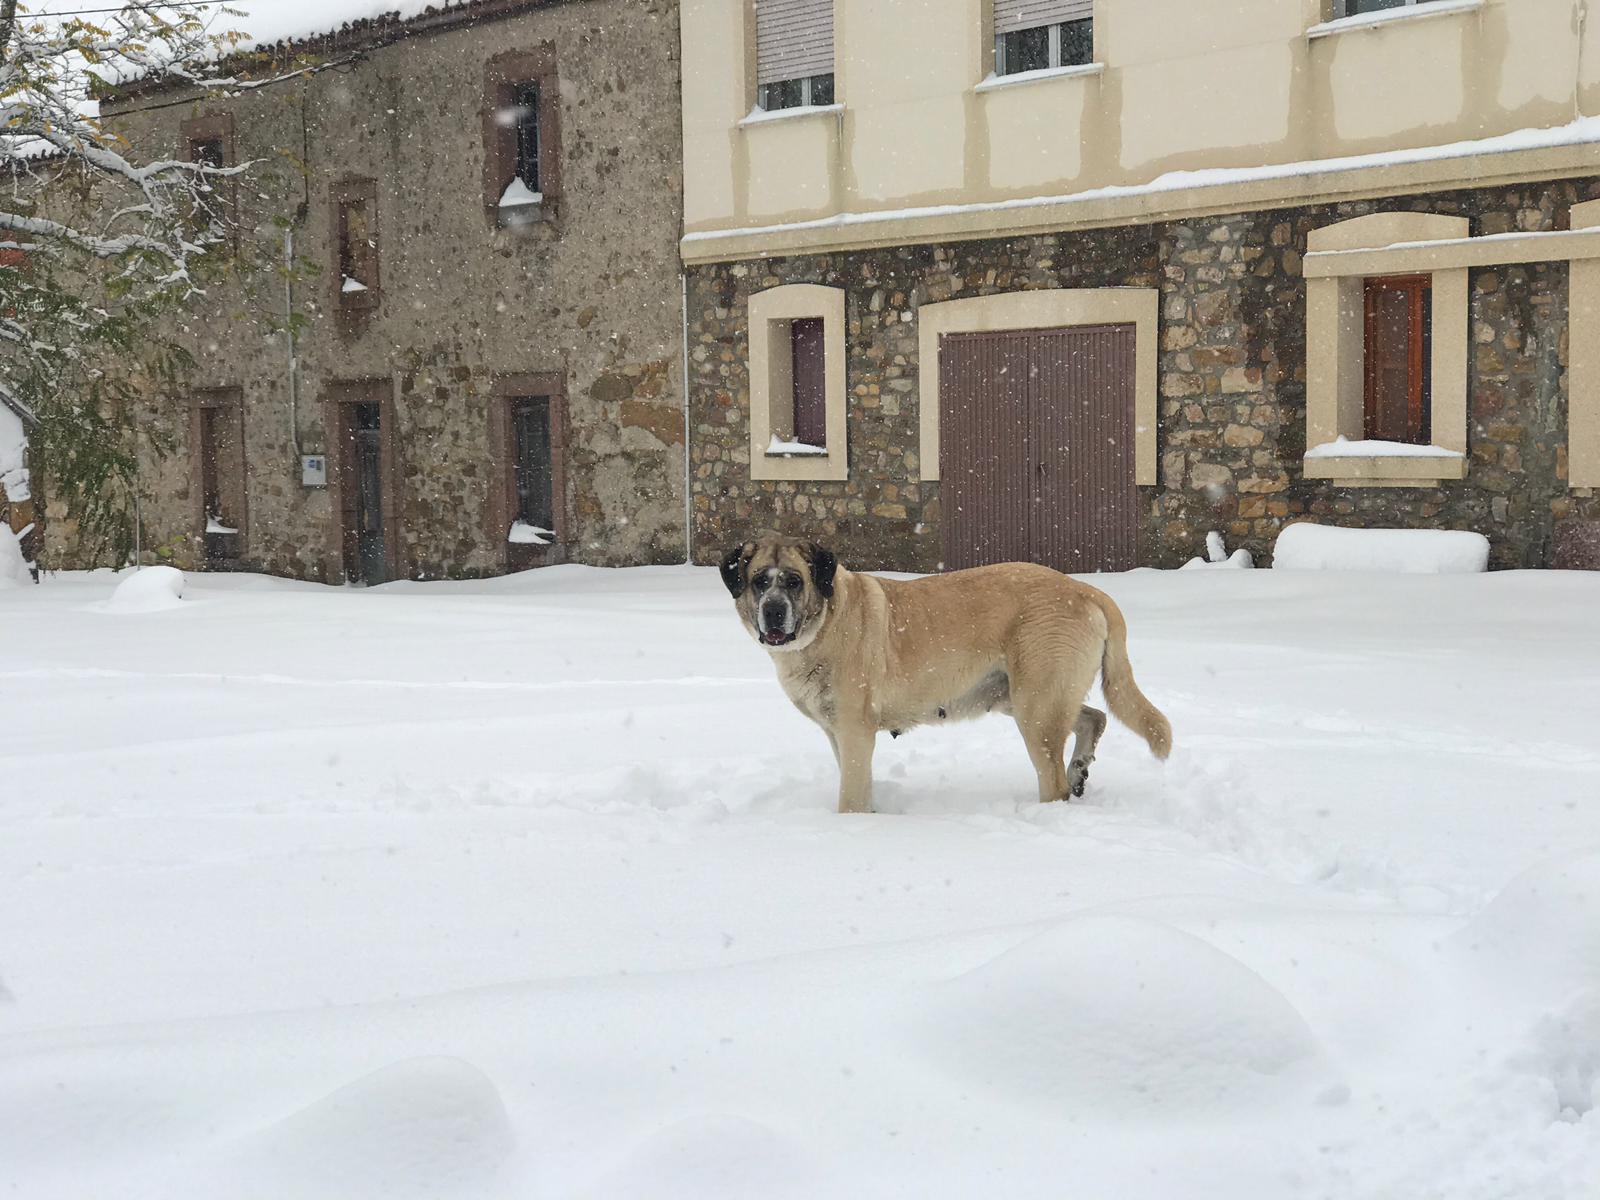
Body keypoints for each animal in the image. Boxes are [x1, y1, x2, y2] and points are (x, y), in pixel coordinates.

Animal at [720, 537, 1171, 812]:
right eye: (759, 581)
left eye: (794, 581)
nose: (773, 610)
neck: (826, 622)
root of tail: (1089, 591)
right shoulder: (837, 732)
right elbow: (858, 782)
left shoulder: (853, 729)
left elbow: (851, 792)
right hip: (1025, 697)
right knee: (1095, 717)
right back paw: (1080, 768)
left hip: (1036, 706)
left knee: (1054, 778)